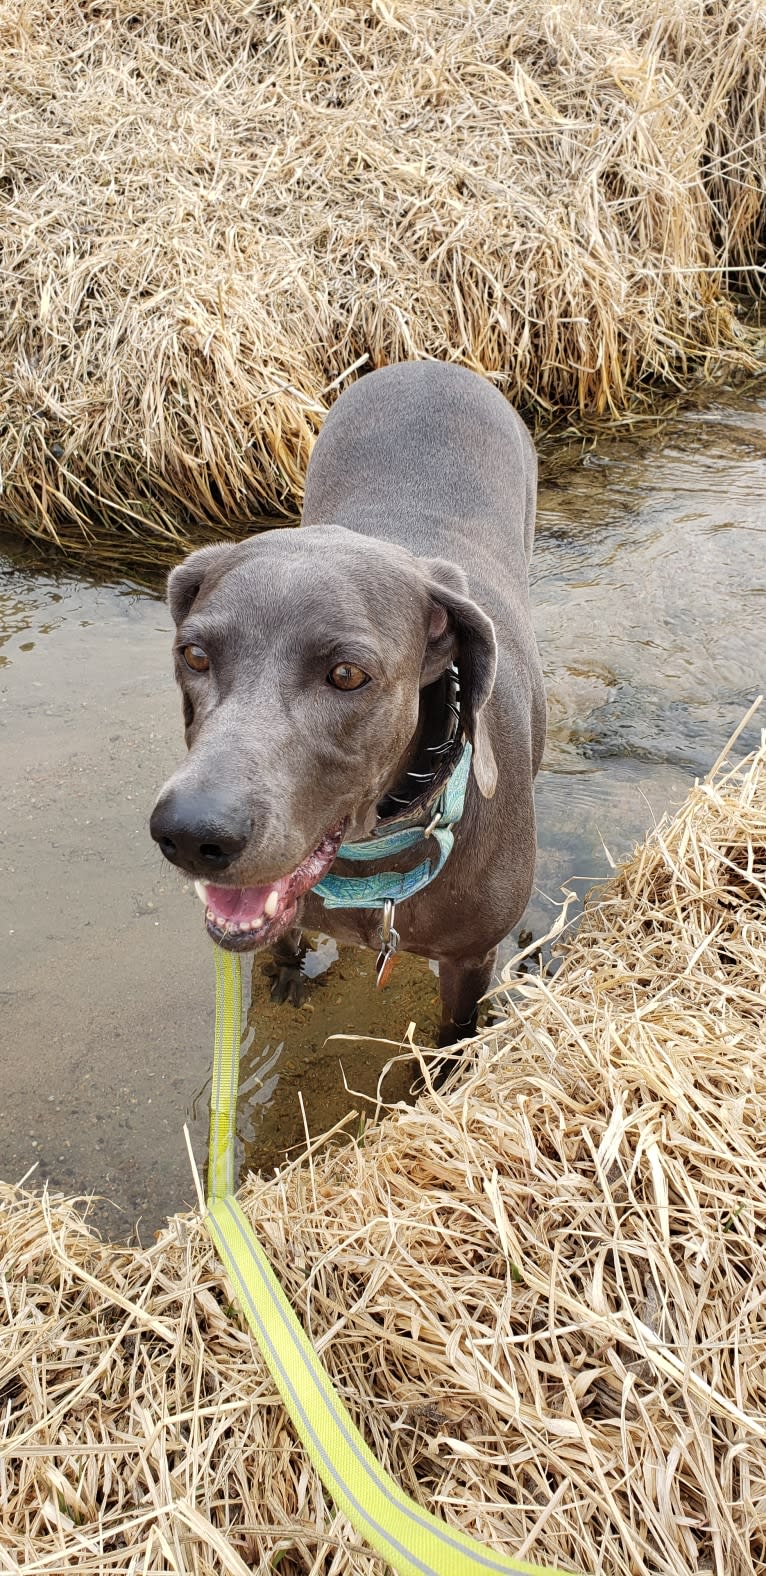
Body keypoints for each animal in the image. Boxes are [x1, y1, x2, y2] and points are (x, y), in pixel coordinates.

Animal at [149, 362, 545, 1052]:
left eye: (346, 674)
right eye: (194, 655)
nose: (190, 835)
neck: (374, 860)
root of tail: (429, 364)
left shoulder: (470, 958)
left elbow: (453, 1033)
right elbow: (278, 941)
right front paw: (288, 976)